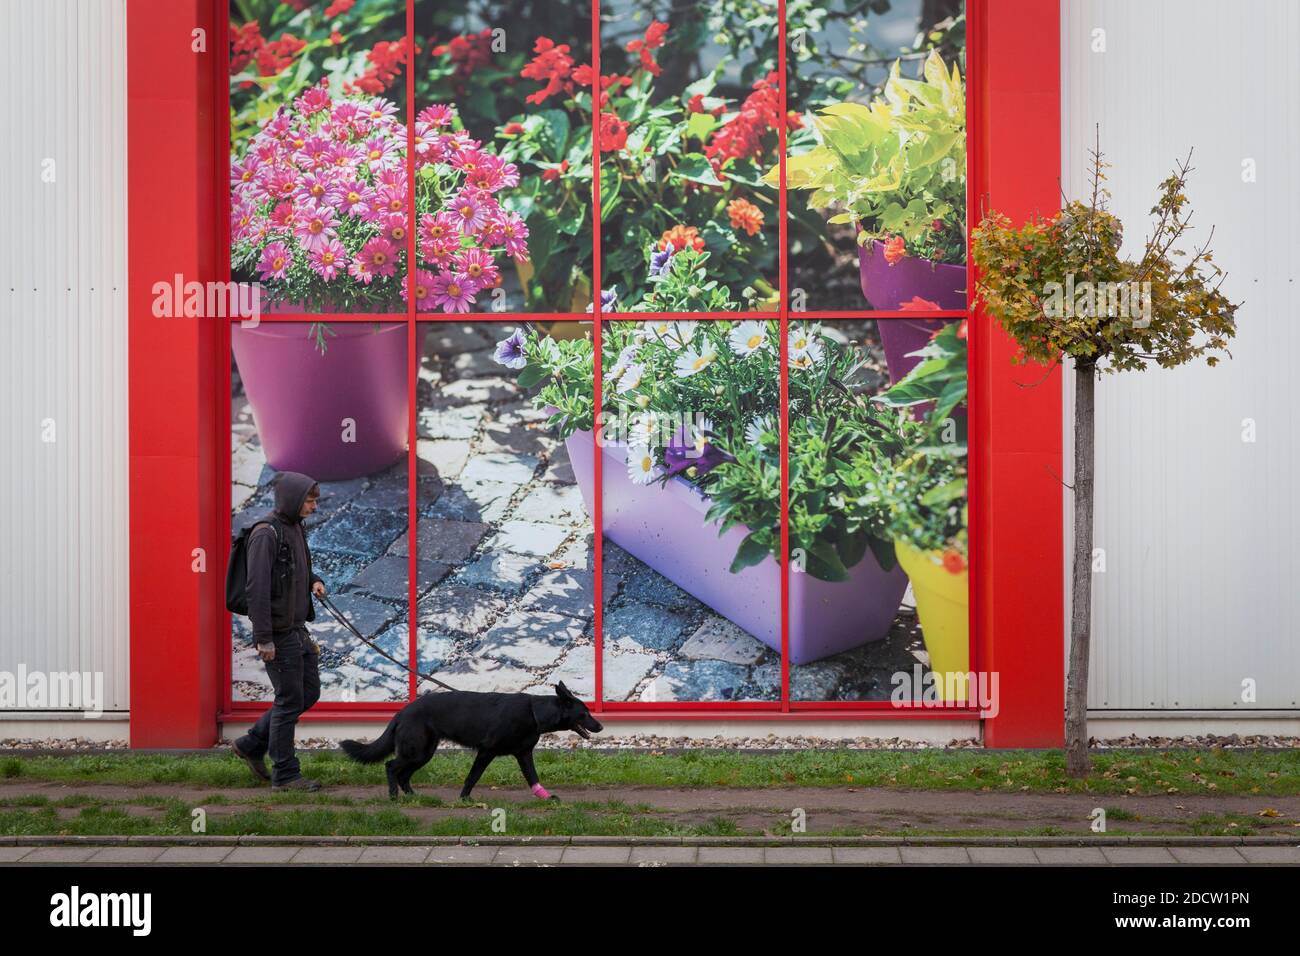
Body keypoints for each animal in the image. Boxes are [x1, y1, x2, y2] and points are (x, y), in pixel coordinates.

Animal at [335, 681, 598, 801]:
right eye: (585, 713)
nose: (600, 726)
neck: (534, 712)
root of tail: (402, 712)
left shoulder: (523, 755)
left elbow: (533, 777)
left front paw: (545, 797)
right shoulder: (486, 752)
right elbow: (473, 776)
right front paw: (465, 799)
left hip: (424, 753)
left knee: (404, 774)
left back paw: (412, 796)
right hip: (416, 751)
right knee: (391, 766)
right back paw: (393, 796)